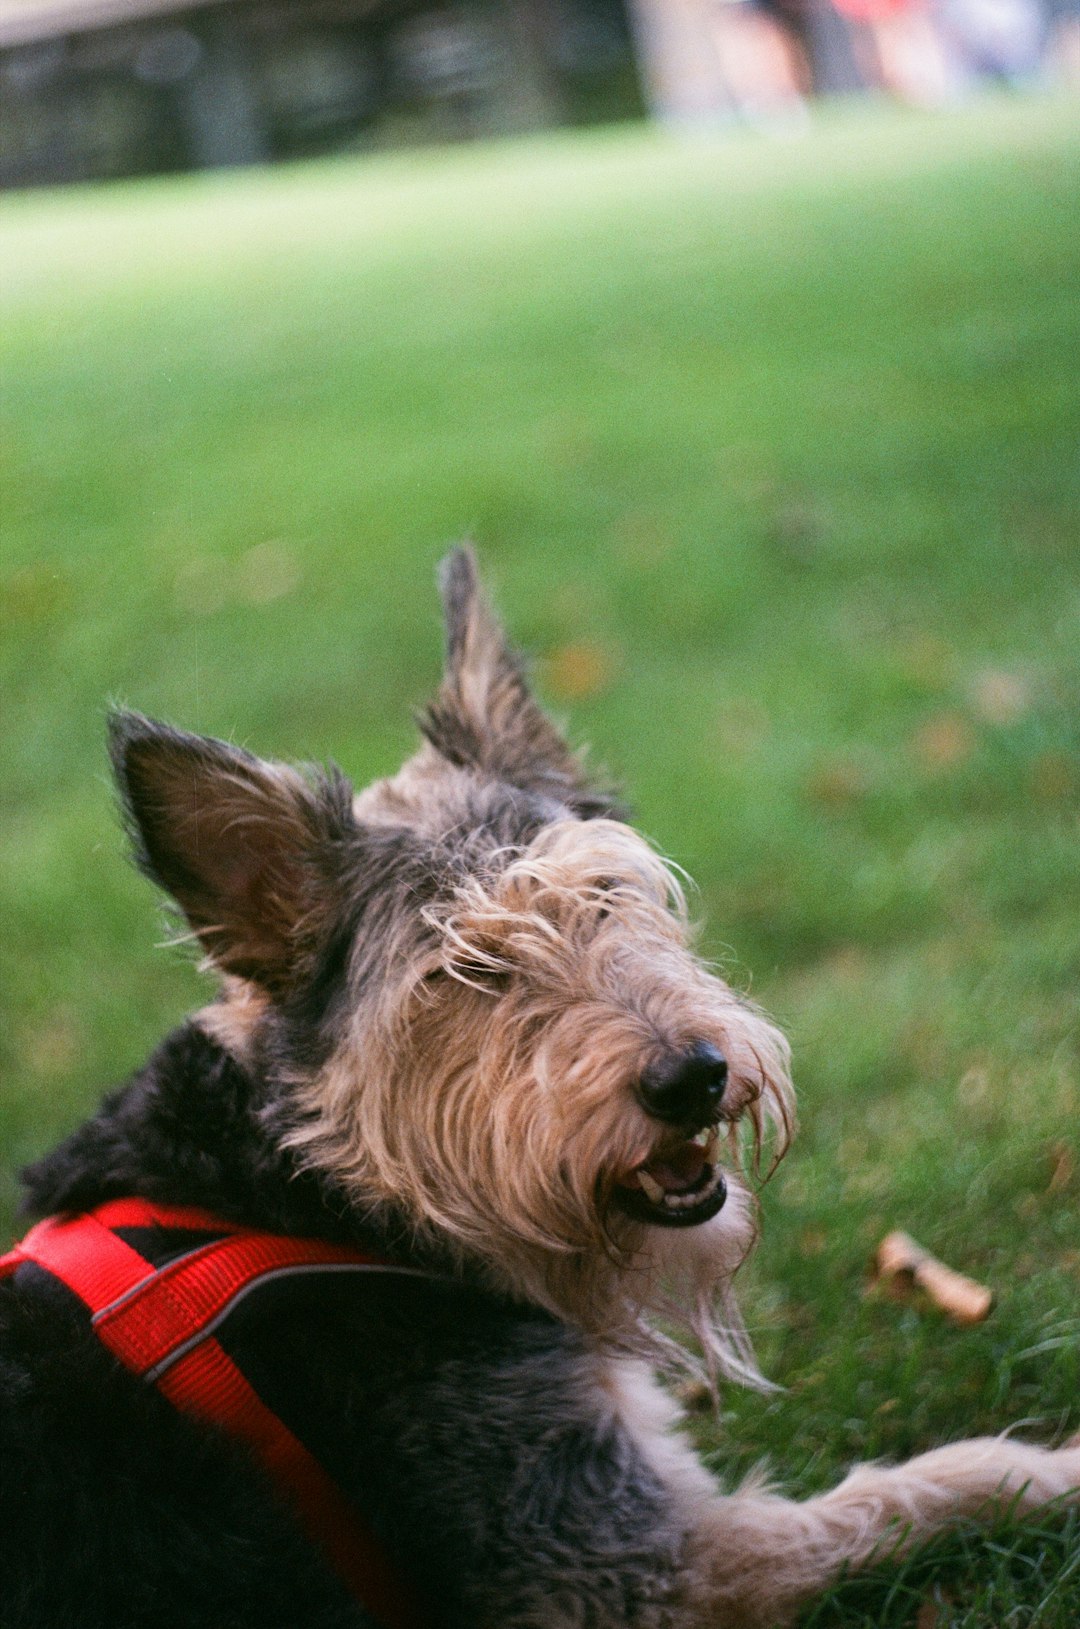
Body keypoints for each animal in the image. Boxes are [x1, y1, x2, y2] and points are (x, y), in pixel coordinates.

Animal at [2, 550, 1080, 1629]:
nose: (693, 1075)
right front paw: (1055, 1468)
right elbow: (919, 1486)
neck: (312, 1191)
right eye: (468, 972)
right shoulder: (629, 1566)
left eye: (603, 894)